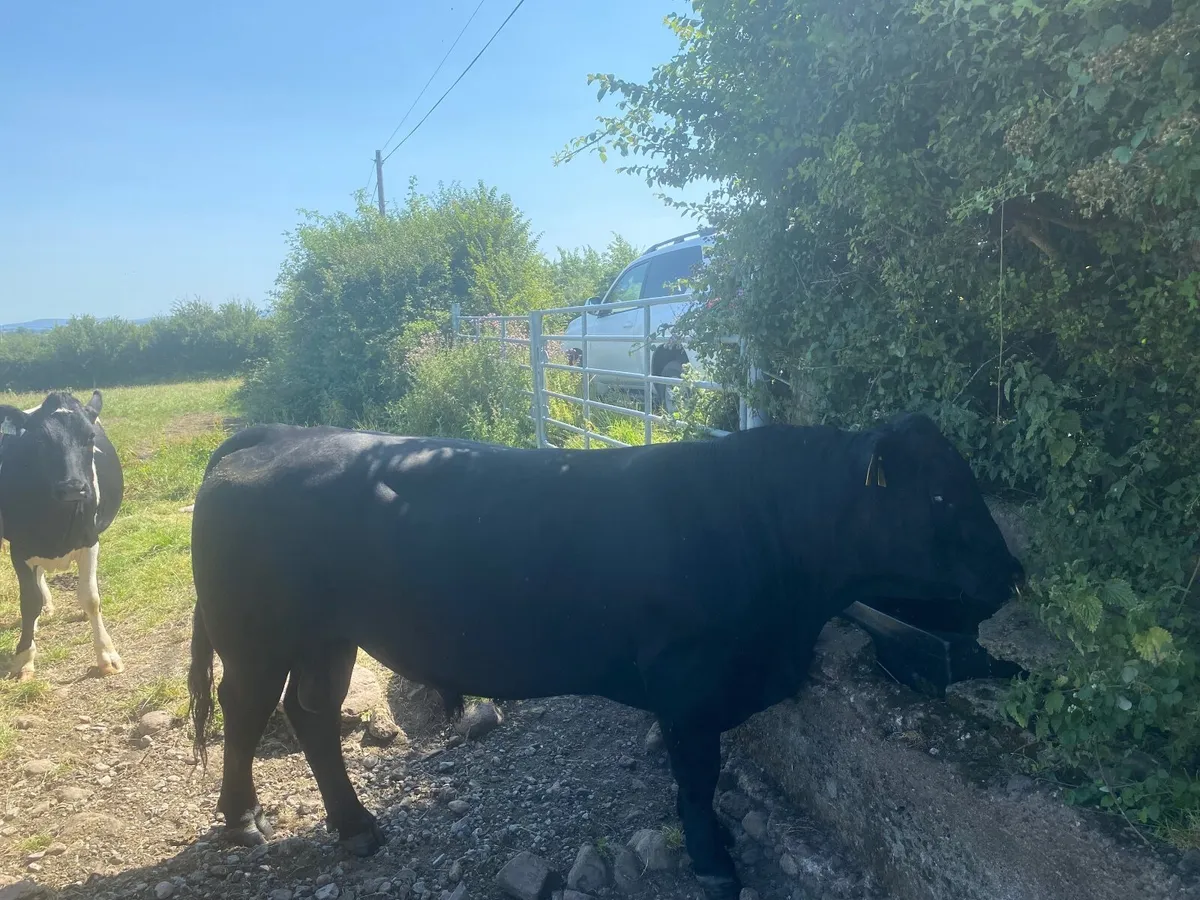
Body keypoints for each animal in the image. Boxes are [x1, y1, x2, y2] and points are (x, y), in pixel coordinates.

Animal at [0, 390, 125, 682]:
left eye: (90, 437)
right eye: (39, 440)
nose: (73, 487)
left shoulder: (90, 541)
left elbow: (90, 597)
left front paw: (106, 656)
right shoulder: (20, 549)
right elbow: (28, 602)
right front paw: (24, 658)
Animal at [187, 412, 1023, 900]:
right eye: (942, 497)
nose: (1014, 571)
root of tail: (273, 433)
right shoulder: (688, 681)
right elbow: (697, 778)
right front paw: (715, 863)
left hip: (327, 636)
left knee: (312, 715)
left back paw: (357, 826)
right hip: (257, 633)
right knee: (248, 708)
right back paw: (243, 818)